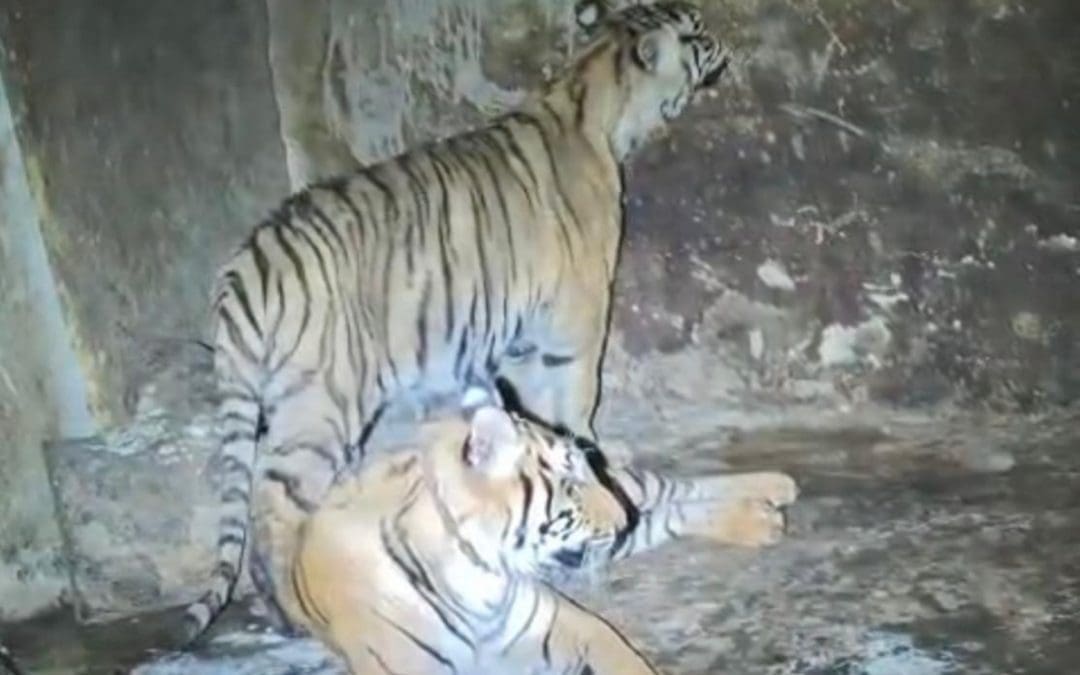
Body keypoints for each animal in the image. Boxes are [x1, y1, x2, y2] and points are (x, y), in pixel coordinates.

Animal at [183, 0, 731, 642]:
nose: (726, 46)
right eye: (696, 32)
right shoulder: (575, 319)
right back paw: (292, 611)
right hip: (321, 407)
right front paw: (590, 462)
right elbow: (575, 399)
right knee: (271, 506)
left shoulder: (519, 340)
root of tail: (245, 266)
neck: (591, 91)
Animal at [281, 403, 797, 674]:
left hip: (632, 497)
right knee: (668, 512)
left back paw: (776, 487)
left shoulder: (567, 623)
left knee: (672, 489)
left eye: (588, 470)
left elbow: (627, 661)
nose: (622, 519)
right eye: (571, 484)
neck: (478, 577)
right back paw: (761, 518)